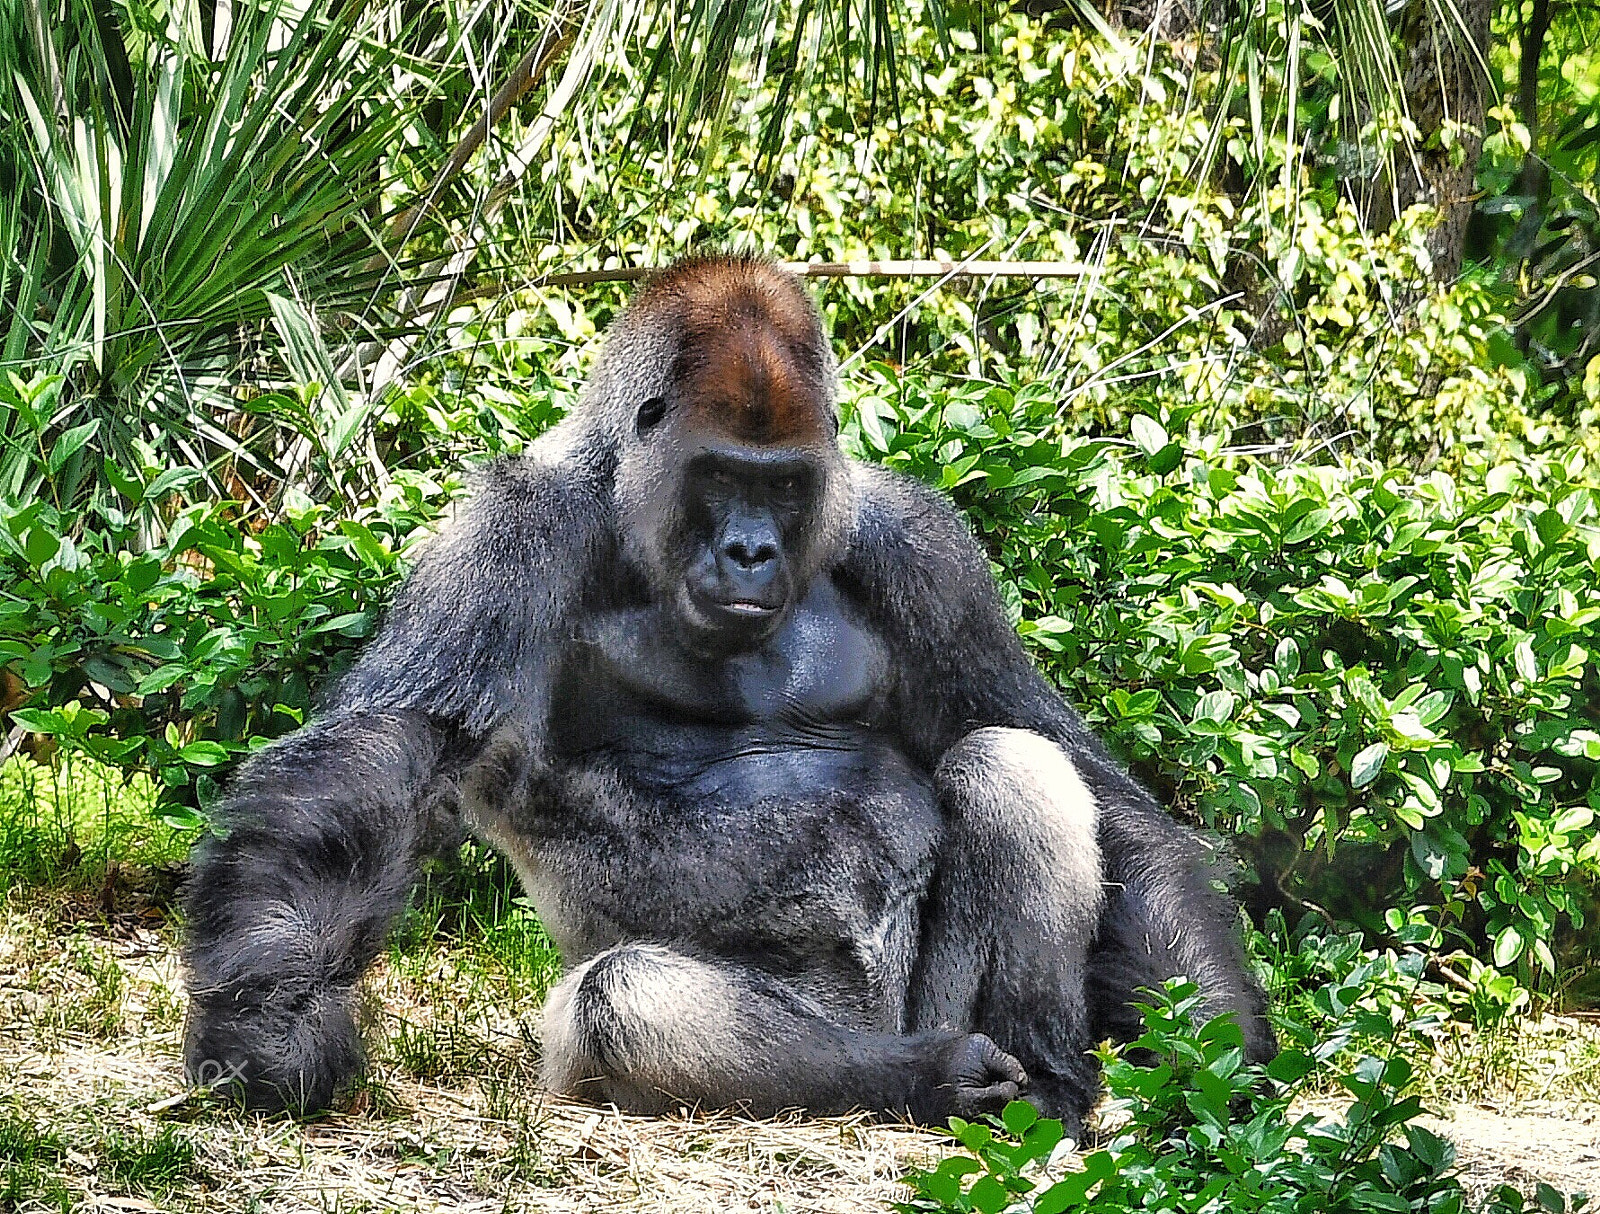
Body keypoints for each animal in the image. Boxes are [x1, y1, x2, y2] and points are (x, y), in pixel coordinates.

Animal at [182, 255, 1274, 1135]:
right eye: (719, 475)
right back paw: (919, 1076)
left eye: (783, 485)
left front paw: (1215, 1044)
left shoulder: (921, 547)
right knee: (623, 1000)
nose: (750, 551)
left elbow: (1065, 760)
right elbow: (393, 744)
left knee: (1015, 761)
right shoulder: (512, 527)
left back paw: (1037, 1086)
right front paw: (267, 1026)